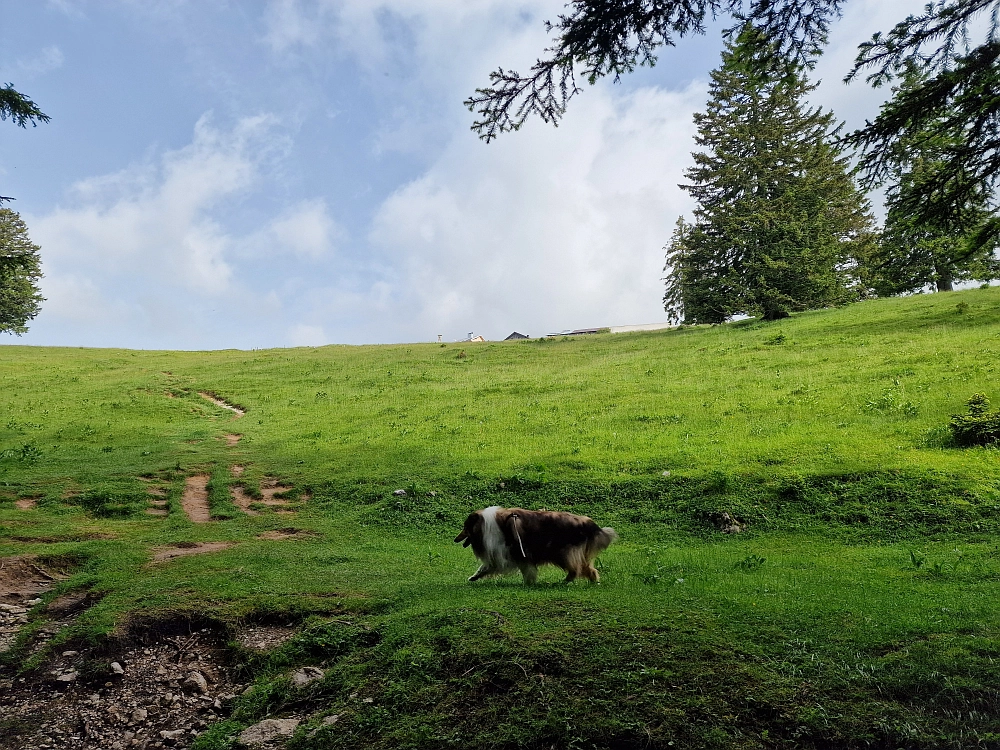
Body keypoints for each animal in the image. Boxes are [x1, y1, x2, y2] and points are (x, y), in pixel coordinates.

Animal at [456, 508, 616, 584]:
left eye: (465, 527)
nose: (455, 539)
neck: (486, 526)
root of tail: (586, 522)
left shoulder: (519, 553)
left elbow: (528, 571)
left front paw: (528, 583)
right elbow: (485, 567)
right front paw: (473, 577)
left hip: (562, 553)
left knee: (576, 569)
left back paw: (565, 581)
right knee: (589, 568)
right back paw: (593, 581)